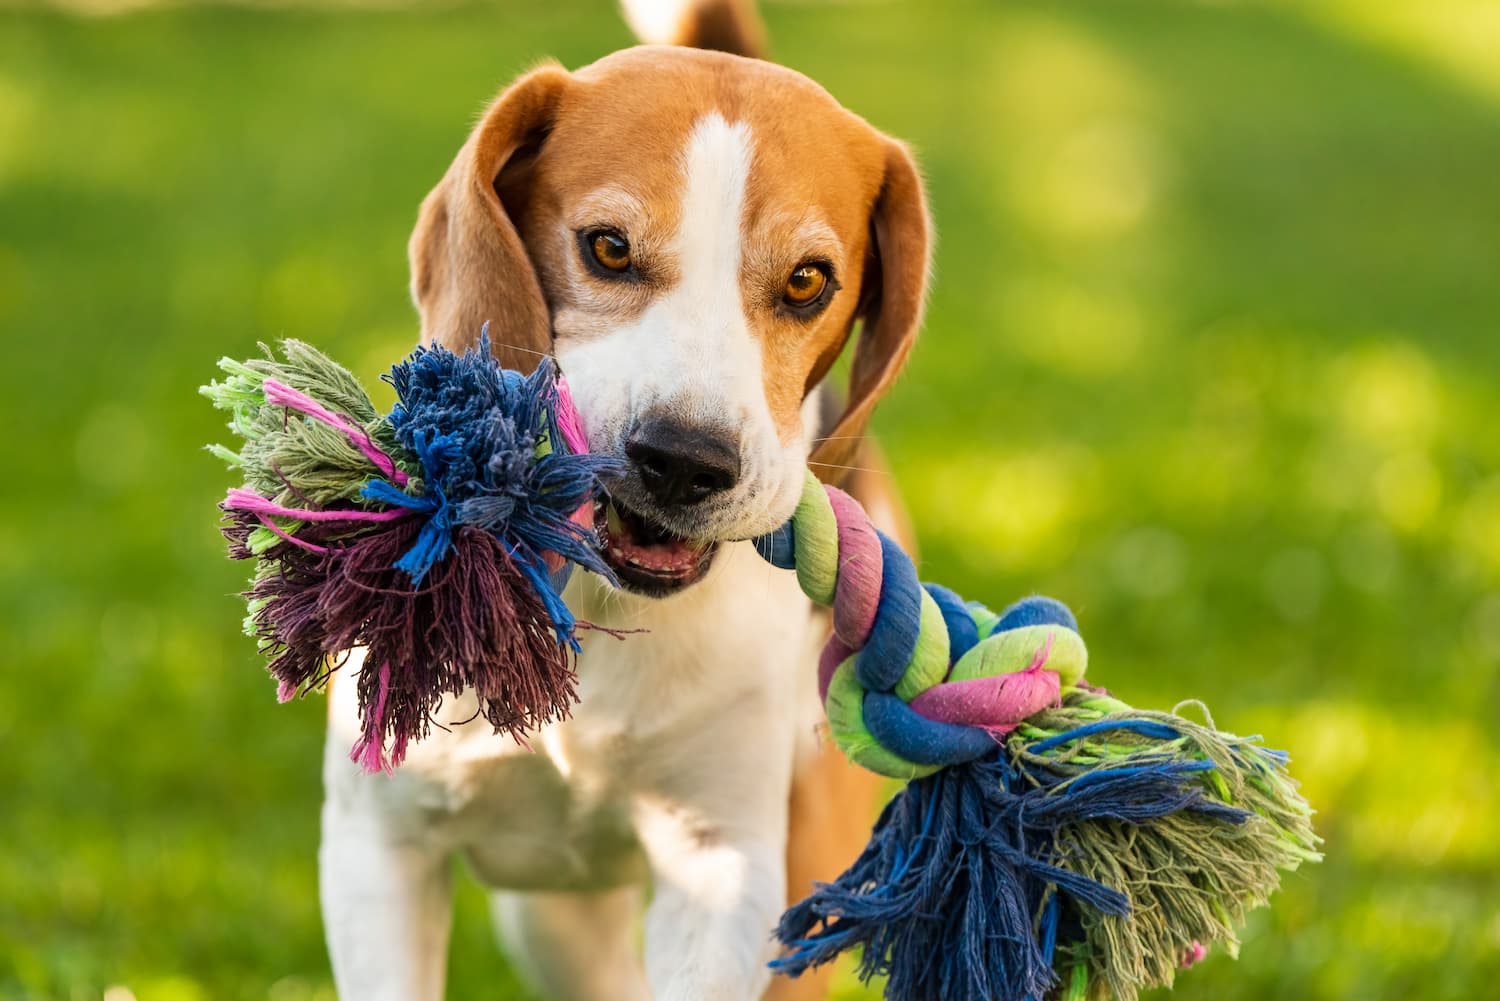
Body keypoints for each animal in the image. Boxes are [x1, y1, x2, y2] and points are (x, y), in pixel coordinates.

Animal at [319, 3, 924, 996]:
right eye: (607, 246)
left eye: (808, 280)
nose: (684, 460)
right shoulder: (377, 845)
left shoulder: (723, 866)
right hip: (548, 924)